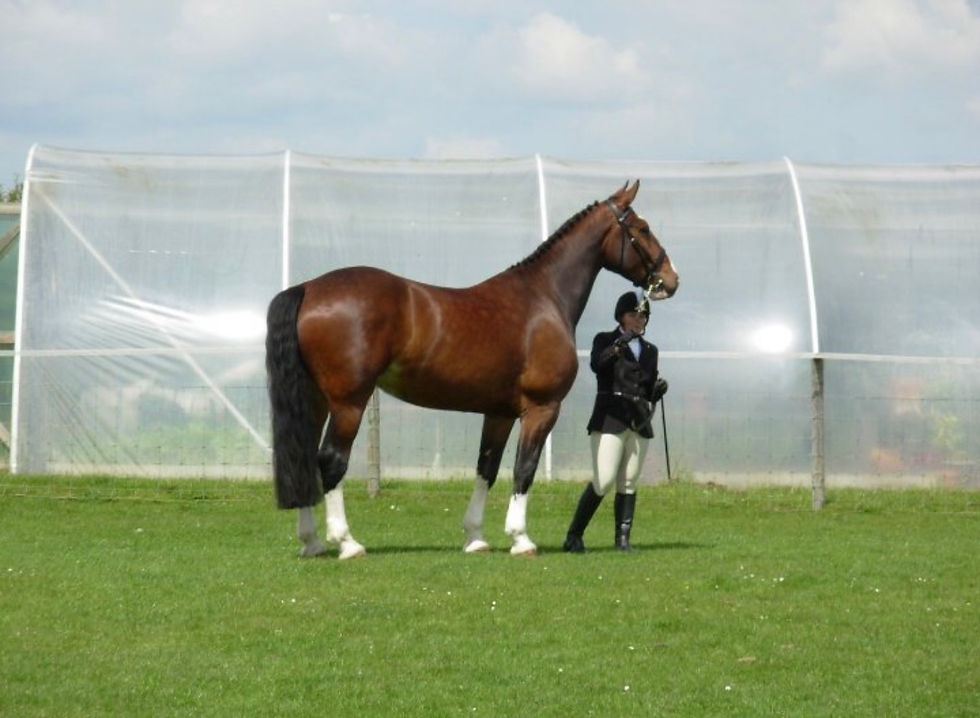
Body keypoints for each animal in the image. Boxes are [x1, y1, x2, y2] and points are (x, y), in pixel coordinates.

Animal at [265, 180, 679, 559]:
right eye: (642, 228)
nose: (671, 280)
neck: (544, 298)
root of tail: (308, 288)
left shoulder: (498, 413)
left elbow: (487, 469)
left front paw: (476, 537)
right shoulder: (541, 409)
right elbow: (524, 469)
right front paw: (521, 539)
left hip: (316, 400)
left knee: (304, 459)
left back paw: (312, 542)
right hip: (349, 403)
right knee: (331, 461)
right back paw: (346, 543)